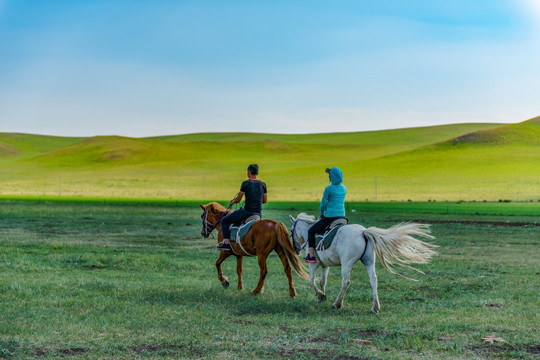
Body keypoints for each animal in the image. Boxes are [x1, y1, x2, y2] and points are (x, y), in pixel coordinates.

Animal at [288, 214, 436, 312]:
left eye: (291, 230)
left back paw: (337, 304)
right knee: (373, 280)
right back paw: (375, 307)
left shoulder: (313, 264)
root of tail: (363, 232)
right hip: (369, 261)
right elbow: (322, 281)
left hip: (347, 264)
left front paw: (320, 295)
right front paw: (321, 296)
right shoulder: (325, 265)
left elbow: (311, 281)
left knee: (346, 282)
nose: (295, 249)